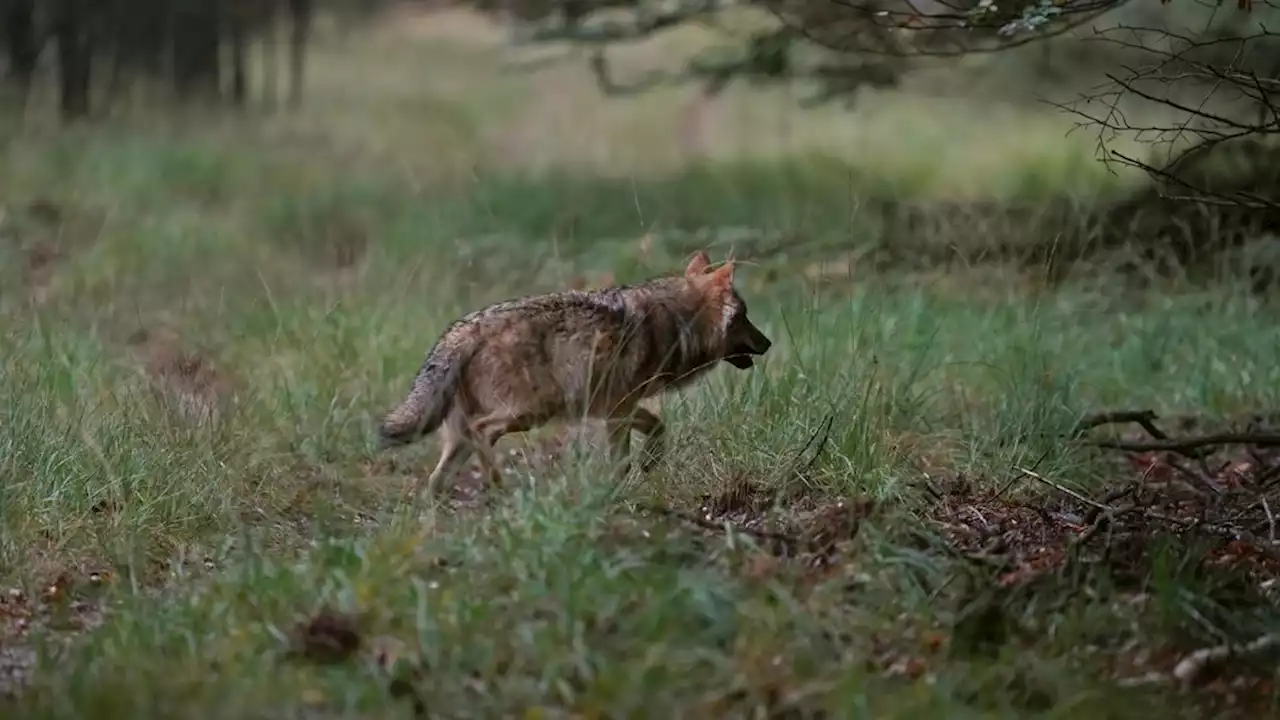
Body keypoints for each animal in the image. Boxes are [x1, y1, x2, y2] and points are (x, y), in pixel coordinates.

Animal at [376, 251, 768, 499]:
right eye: (746, 316)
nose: (769, 343)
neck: (678, 323)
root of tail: (464, 330)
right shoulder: (618, 411)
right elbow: (623, 459)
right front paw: (618, 489)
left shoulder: (617, 407)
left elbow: (658, 428)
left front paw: (649, 463)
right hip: (529, 413)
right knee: (483, 433)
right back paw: (501, 490)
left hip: (465, 435)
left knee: (435, 481)